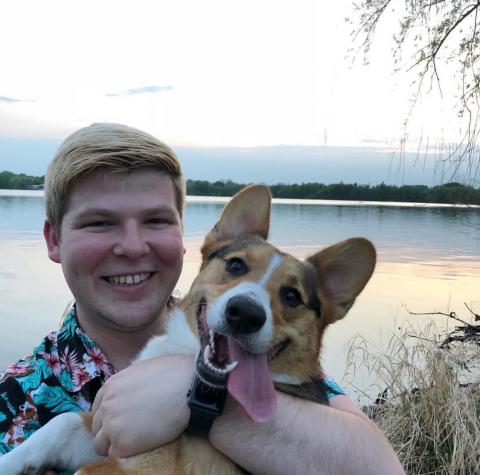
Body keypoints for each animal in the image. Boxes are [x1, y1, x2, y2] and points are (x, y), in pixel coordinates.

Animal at [0, 184, 376, 474]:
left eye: (292, 296)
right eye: (235, 265)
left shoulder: (136, 462)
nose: (245, 314)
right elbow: (59, 424)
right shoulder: (106, 437)